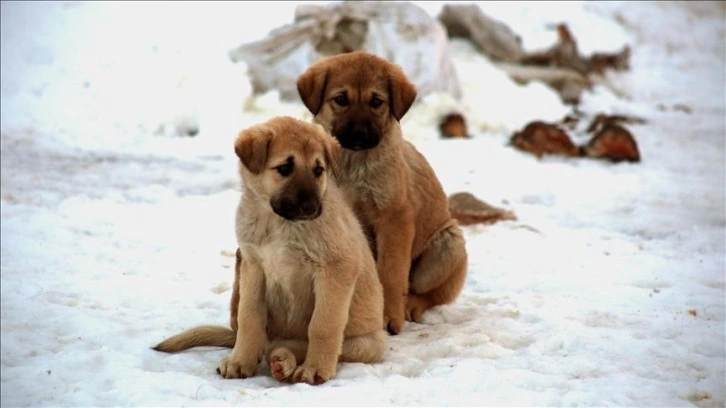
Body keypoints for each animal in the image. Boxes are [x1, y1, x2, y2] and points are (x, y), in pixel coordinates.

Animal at [156, 116, 390, 384]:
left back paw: (284, 360)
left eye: (318, 170)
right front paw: (240, 361)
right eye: (284, 168)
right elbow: (248, 318)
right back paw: (279, 359)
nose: (311, 208)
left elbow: (322, 325)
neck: (278, 222)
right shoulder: (253, 268)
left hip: (369, 343)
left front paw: (315, 369)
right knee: (269, 343)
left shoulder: (336, 269)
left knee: (300, 344)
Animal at [298, 50, 472, 334]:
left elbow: (391, 272)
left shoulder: (394, 218)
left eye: (376, 102)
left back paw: (410, 306)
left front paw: (389, 315)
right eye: (341, 100)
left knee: (430, 293)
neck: (353, 163)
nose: (359, 134)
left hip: (447, 245)